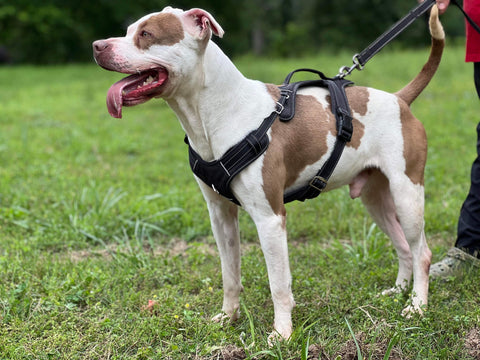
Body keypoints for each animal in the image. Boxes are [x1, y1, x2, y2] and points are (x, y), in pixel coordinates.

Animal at [92, 5, 444, 342]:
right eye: (127, 30)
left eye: (146, 34)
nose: (97, 46)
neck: (216, 113)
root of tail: (399, 98)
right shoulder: (220, 215)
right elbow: (229, 273)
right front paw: (228, 318)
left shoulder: (270, 219)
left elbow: (279, 284)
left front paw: (282, 333)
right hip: (376, 198)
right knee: (403, 246)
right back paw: (398, 292)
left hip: (407, 194)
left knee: (422, 252)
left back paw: (417, 306)